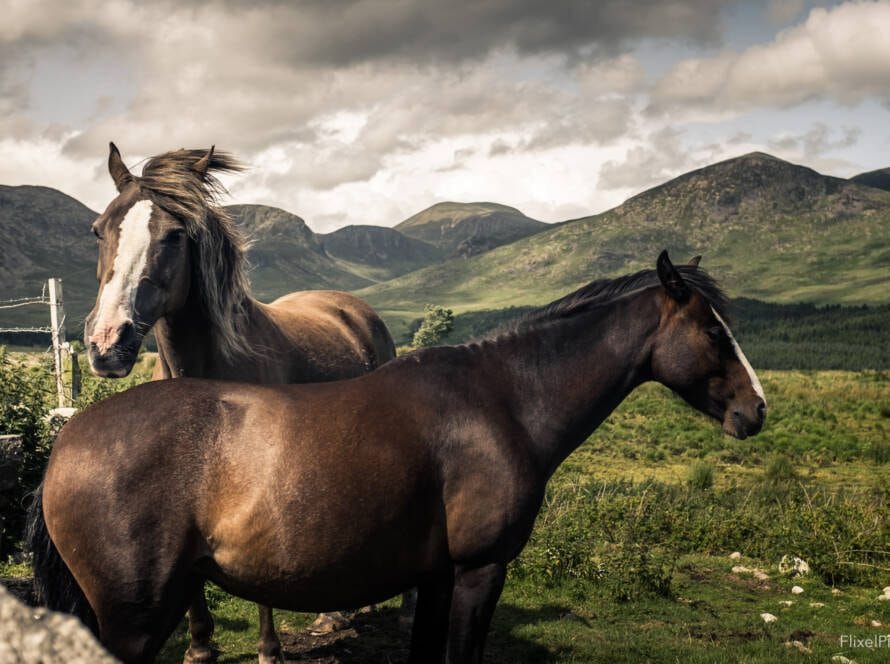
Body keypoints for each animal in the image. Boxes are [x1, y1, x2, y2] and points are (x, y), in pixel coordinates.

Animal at [31, 251, 766, 663]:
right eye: (712, 332)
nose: (755, 410)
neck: (502, 400)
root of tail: (70, 438)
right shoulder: (478, 571)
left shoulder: (437, 578)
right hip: (132, 620)